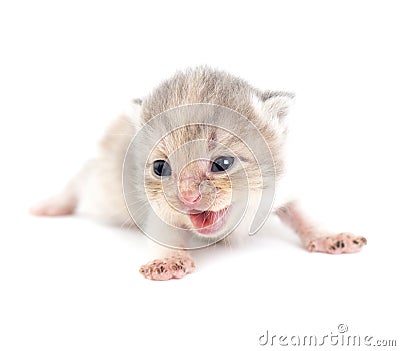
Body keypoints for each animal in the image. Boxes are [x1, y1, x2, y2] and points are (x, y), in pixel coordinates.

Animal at [31, 66, 368, 280]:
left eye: (222, 164)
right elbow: (163, 231)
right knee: (83, 176)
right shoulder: (153, 205)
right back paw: (52, 204)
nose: (188, 196)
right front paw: (167, 261)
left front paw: (329, 236)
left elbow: (303, 214)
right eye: (161, 167)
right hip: (105, 190)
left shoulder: (282, 187)